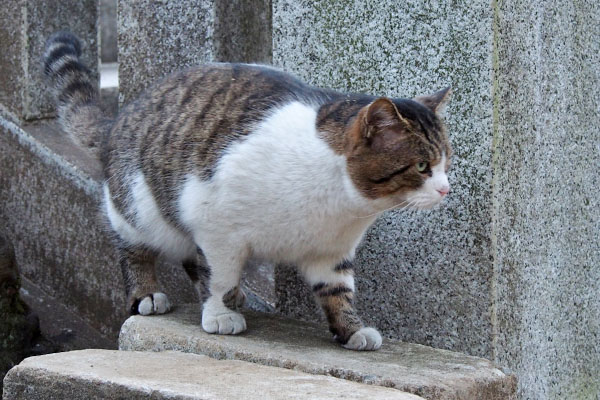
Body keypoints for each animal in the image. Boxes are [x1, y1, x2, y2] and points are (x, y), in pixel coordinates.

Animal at [43, 31, 450, 350]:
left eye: (447, 161)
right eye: (422, 166)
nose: (447, 189)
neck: (339, 204)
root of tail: (119, 119)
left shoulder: (331, 252)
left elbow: (338, 292)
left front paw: (350, 330)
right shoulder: (214, 223)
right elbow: (217, 274)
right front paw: (219, 314)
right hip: (137, 207)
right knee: (136, 251)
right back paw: (148, 294)